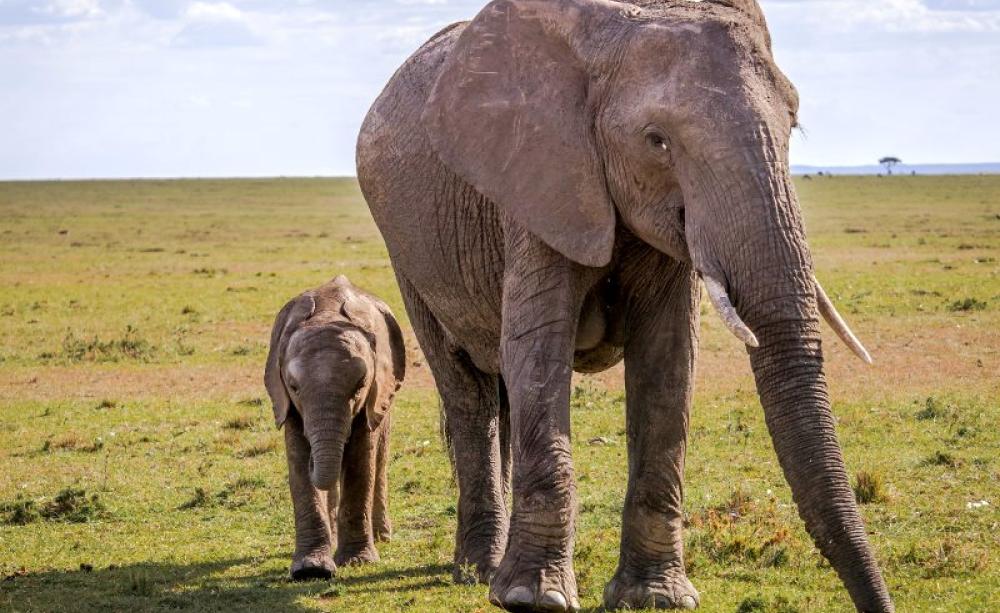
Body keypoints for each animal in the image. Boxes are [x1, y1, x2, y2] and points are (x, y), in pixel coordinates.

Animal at [264, 275, 406, 580]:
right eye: (294, 387)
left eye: (360, 386)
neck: (326, 314)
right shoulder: (286, 401)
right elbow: (296, 457)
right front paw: (311, 569)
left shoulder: (375, 393)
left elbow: (361, 460)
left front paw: (357, 562)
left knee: (380, 457)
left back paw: (381, 536)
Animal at [356, 0, 891, 611]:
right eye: (656, 140)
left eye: (793, 122)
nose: (880, 603)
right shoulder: (540, 177)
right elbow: (537, 349)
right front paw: (531, 598)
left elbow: (669, 364)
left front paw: (654, 598)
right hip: (407, 250)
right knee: (467, 392)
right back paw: (478, 571)